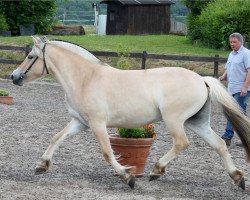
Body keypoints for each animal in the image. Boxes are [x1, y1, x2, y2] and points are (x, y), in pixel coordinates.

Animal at [10, 36, 250, 190]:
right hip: (196, 121)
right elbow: (56, 138)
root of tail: (201, 79)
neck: (86, 79)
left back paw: (156, 170)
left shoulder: (97, 124)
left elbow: (107, 152)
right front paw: (42, 165)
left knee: (182, 143)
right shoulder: (80, 122)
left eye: (30, 56)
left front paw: (128, 177)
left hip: (174, 120)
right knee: (219, 144)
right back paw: (238, 178)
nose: (13, 76)